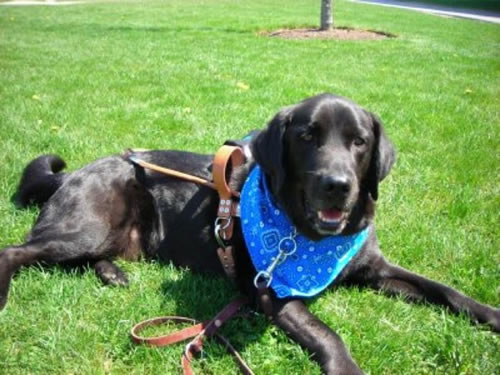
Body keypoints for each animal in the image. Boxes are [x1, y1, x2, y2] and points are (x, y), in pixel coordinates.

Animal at [0, 93, 498, 374]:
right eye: (307, 137)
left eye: (359, 142)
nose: (337, 185)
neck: (310, 236)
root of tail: (72, 173)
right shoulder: (272, 292)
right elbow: (328, 335)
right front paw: (348, 369)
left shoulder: (376, 268)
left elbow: (446, 291)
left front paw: (491, 314)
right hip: (86, 227)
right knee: (16, 250)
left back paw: (112, 273)